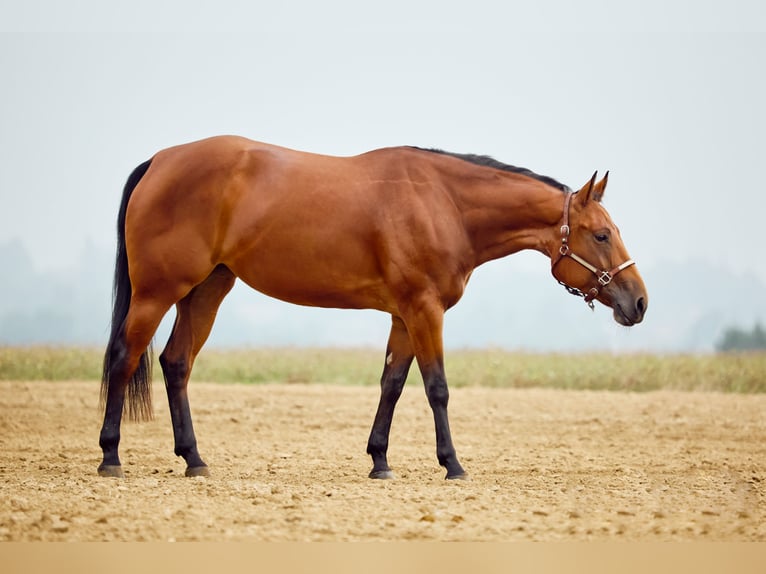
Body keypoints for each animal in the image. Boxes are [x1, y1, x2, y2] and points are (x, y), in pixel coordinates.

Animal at [96, 136, 648, 482]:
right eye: (602, 234)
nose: (639, 302)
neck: (444, 203)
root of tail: (160, 161)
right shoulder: (425, 310)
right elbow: (436, 388)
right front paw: (453, 464)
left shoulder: (403, 315)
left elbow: (392, 384)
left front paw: (380, 461)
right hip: (157, 292)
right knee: (125, 357)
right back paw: (111, 455)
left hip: (206, 290)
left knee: (175, 363)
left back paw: (193, 459)